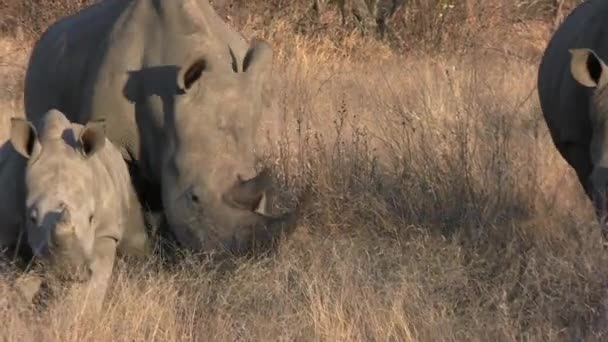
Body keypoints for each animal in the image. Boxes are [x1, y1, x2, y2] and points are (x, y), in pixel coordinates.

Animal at [0, 109, 150, 312]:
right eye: (32, 217)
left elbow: (94, 284)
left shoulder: (105, 232)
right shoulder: (7, 234)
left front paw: (80, 314)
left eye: (91, 217)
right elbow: (17, 282)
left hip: (124, 182)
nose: (68, 272)